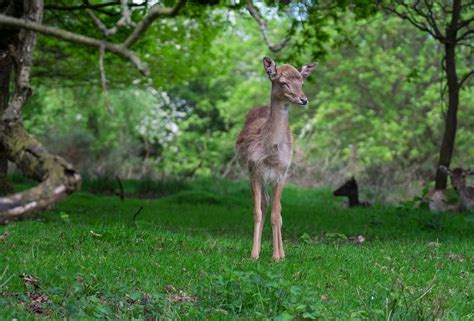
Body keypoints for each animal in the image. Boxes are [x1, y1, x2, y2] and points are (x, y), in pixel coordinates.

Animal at [235, 56, 316, 258]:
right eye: (284, 82)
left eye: (302, 82)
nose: (304, 99)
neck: (270, 153)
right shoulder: (255, 172)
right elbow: (257, 212)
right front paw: (254, 254)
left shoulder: (281, 174)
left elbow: (276, 214)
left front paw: (277, 256)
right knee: (265, 204)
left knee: (276, 210)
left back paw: (281, 253)